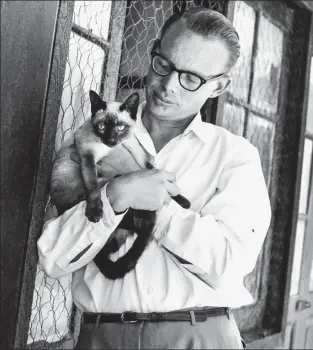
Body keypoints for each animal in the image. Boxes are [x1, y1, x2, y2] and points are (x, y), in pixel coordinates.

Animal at [50, 90, 189, 278]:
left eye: (120, 128)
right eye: (102, 126)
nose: (110, 140)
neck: (110, 149)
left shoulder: (138, 156)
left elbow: (155, 171)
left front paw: (184, 202)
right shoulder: (87, 158)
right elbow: (93, 187)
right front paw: (95, 212)